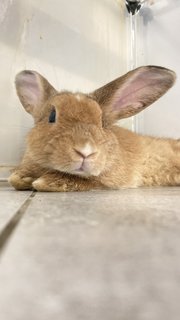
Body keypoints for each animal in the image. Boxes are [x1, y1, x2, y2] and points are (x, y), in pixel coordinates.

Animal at [8, 64, 179, 190]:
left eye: (103, 122)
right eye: (52, 116)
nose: (86, 151)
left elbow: (87, 181)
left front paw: (43, 182)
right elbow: (15, 179)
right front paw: (22, 178)